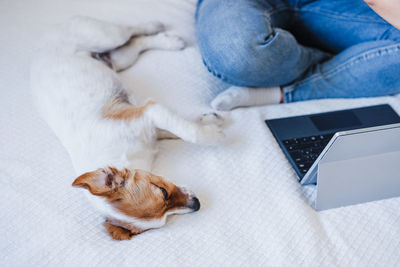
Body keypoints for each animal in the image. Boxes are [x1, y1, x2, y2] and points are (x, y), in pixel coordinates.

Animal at [30, 17, 225, 243]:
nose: (197, 204)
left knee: (132, 30)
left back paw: (160, 30)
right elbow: (177, 129)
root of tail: (41, 45)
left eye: (163, 191)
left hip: (106, 36)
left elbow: (190, 132)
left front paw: (214, 134)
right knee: (136, 44)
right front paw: (209, 121)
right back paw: (167, 40)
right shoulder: (150, 120)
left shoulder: (149, 111)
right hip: (120, 59)